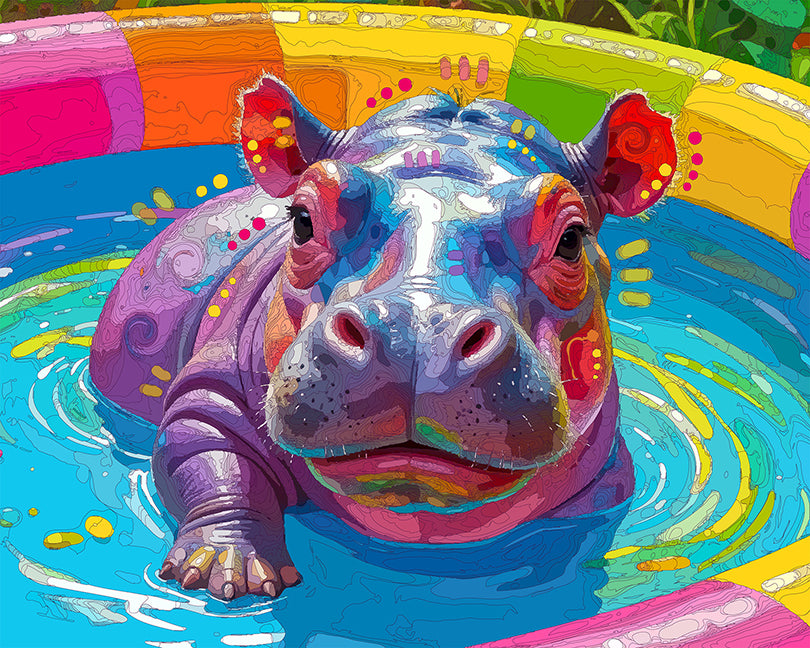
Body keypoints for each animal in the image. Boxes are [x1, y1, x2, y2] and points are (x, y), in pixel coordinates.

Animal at [89, 77, 677, 601]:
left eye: (572, 239)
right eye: (302, 220)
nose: (414, 332)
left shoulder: (604, 482)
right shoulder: (212, 390)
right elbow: (207, 456)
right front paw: (225, 571)